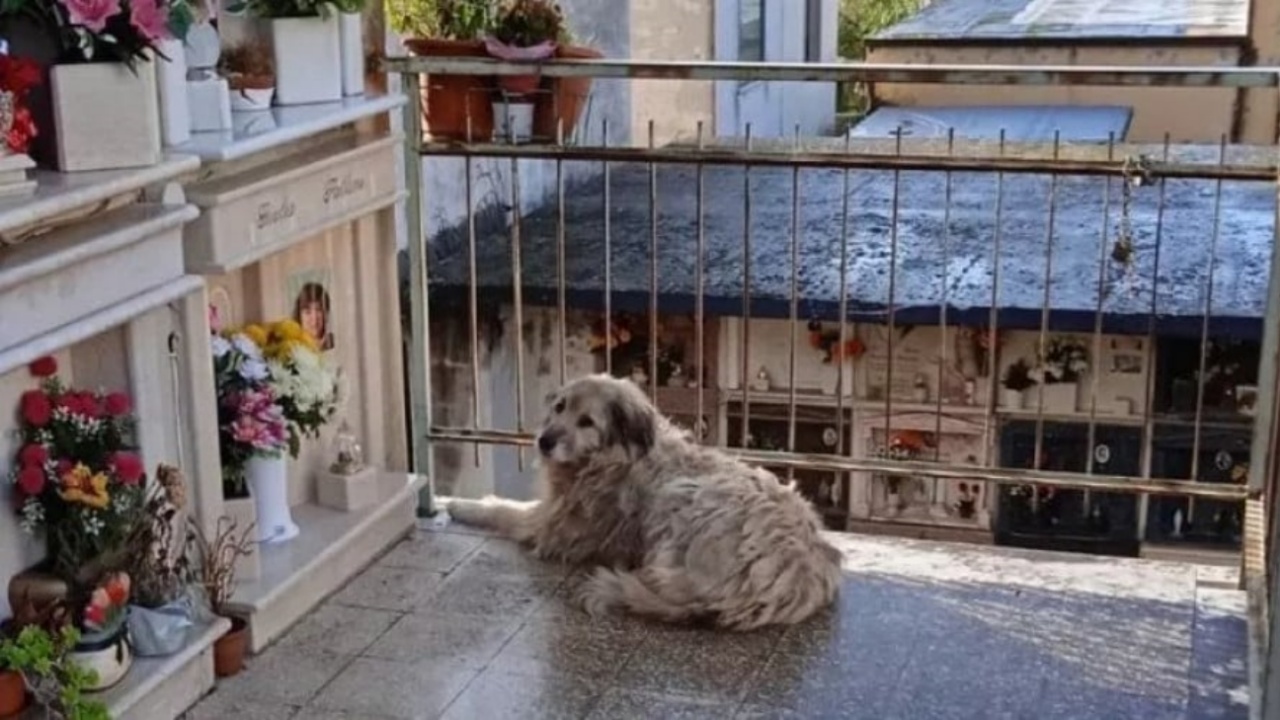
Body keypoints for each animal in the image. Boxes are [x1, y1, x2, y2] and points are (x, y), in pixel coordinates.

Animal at [445, 371, 844, 625]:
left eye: (587, 421)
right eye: (560, 407)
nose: (544, 441)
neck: (615, 457)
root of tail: (798, 577)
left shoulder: (555, 525)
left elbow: (506, 511)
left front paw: (463, 506)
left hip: (684, 495)